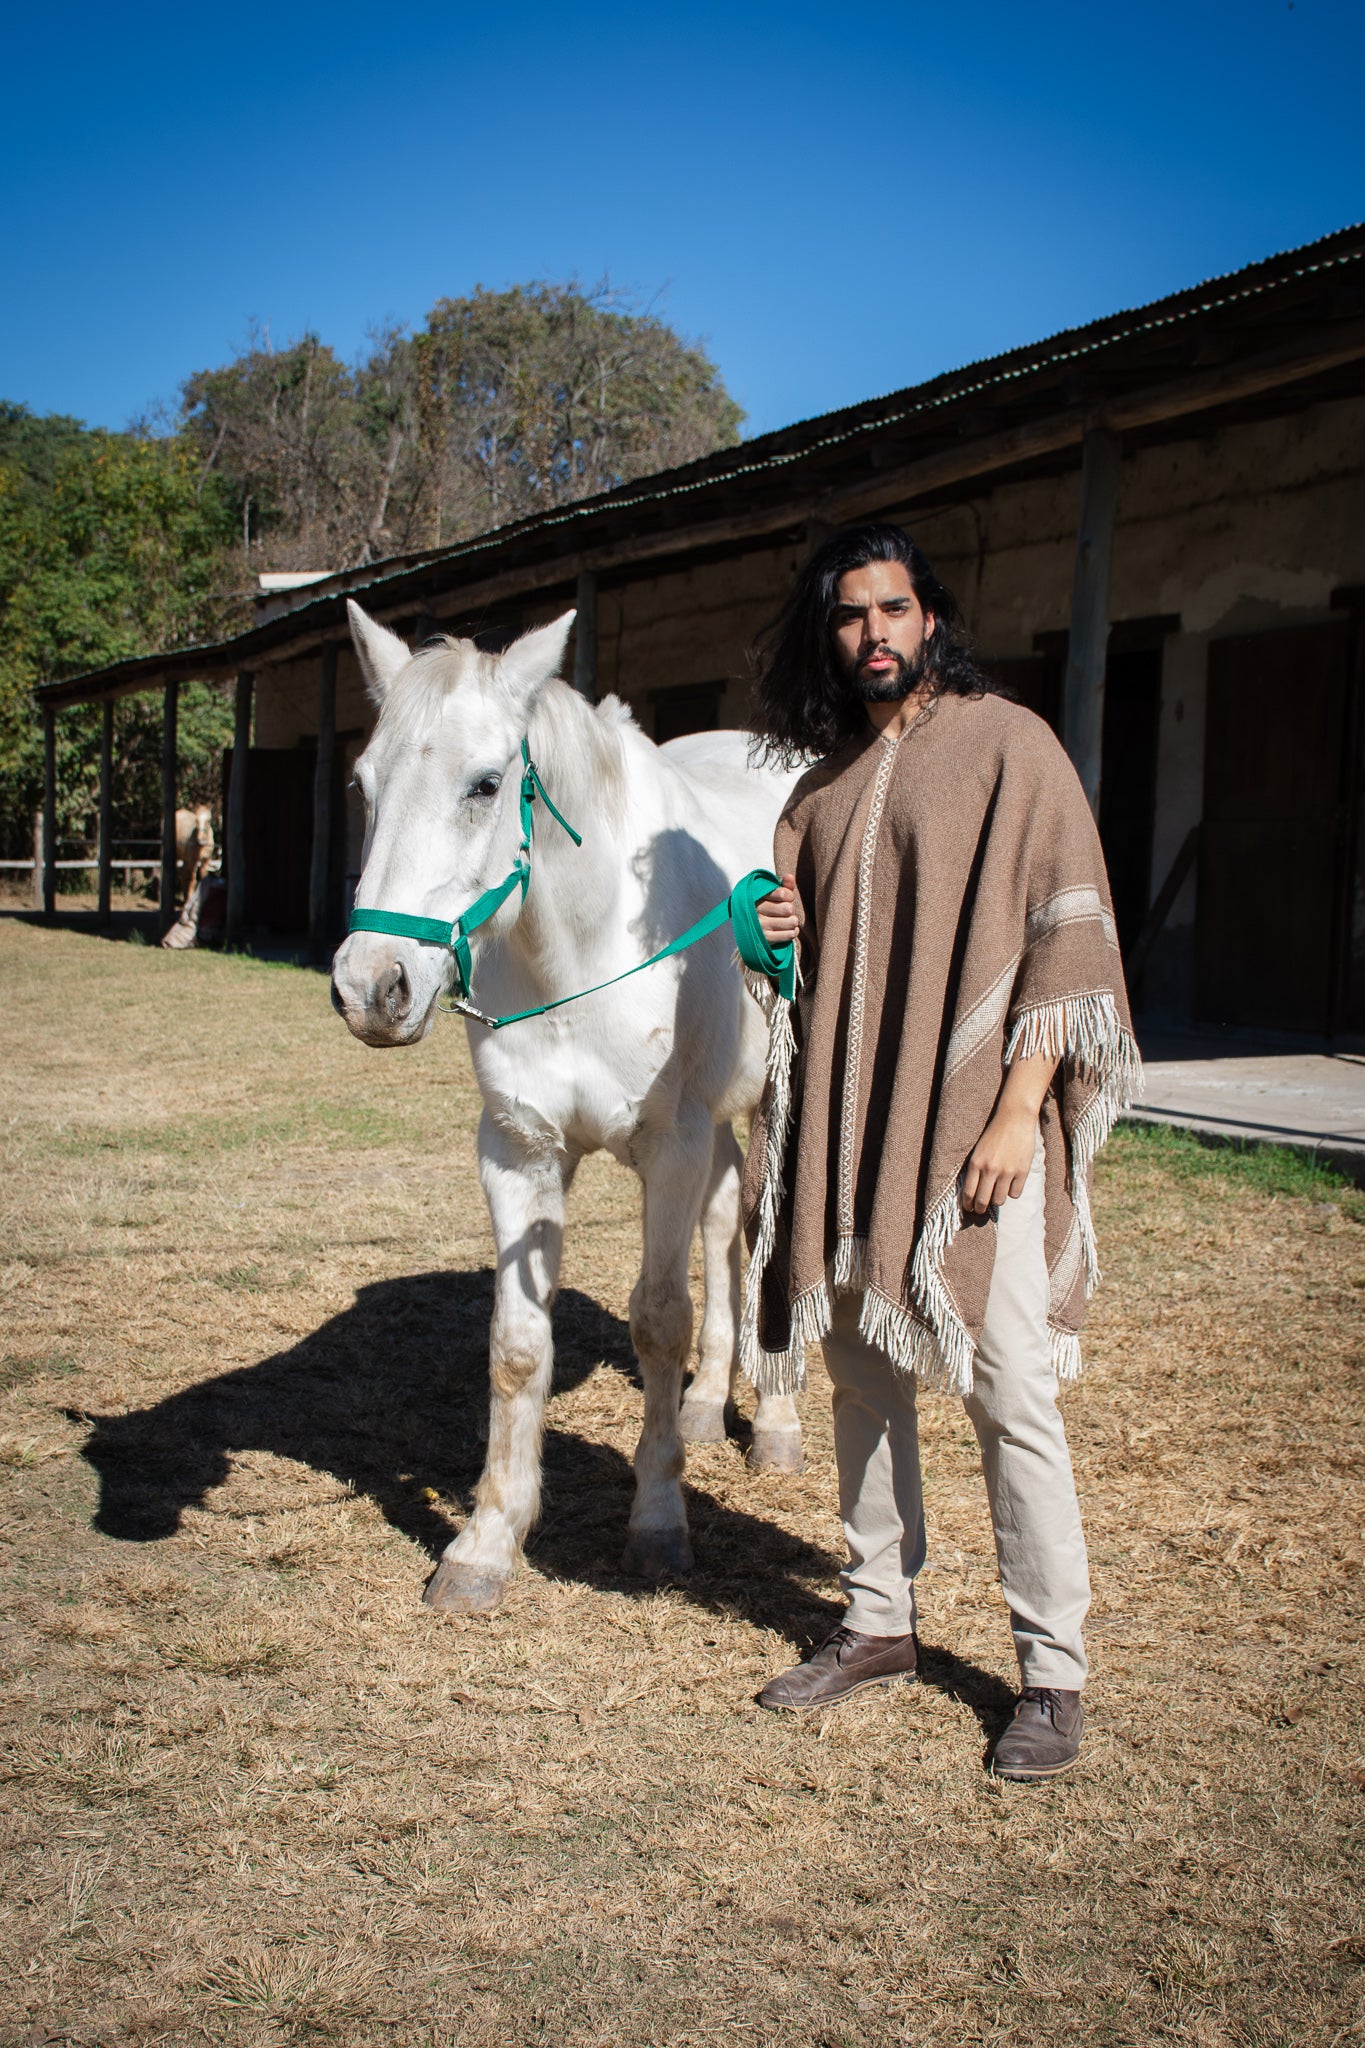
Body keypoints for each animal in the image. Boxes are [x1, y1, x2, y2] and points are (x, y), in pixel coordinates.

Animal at [331, 602, 802, 1613]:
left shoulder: (669, 1146)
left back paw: (776, 1421)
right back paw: (707, 1407)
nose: (370, 988)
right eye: (362, 783)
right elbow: (516, 1345)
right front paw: (485, 1543)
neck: (585, 948)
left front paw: (658, 1526)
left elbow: (657, 1321)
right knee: (723, 1229)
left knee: (765, 1240)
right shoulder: (520, 1151)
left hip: (771, 1104)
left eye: (485, 783)